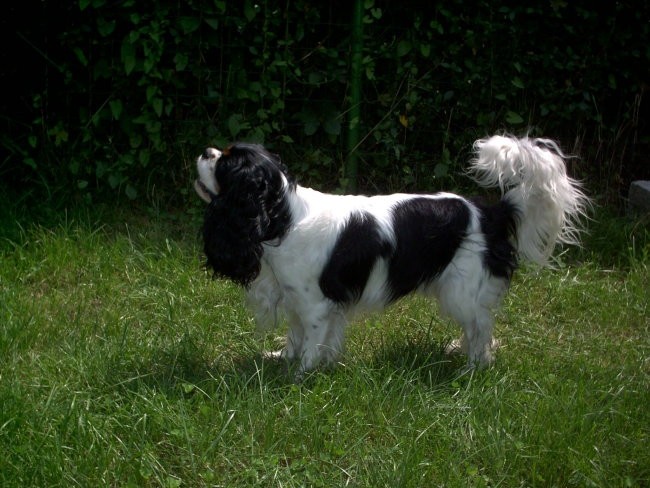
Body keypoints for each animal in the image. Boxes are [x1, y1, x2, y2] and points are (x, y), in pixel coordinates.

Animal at [191, 135, 588, 380]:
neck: (282, 217)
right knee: (476, 325)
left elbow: (311, 343)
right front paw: (283, 360)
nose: (205, 151)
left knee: (481, 327)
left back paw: (473, 368)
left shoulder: (316, 305)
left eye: (225, 163)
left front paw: (301, 376)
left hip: (461, 291)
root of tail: (491, 212)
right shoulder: (296, 301)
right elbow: (295, 335)